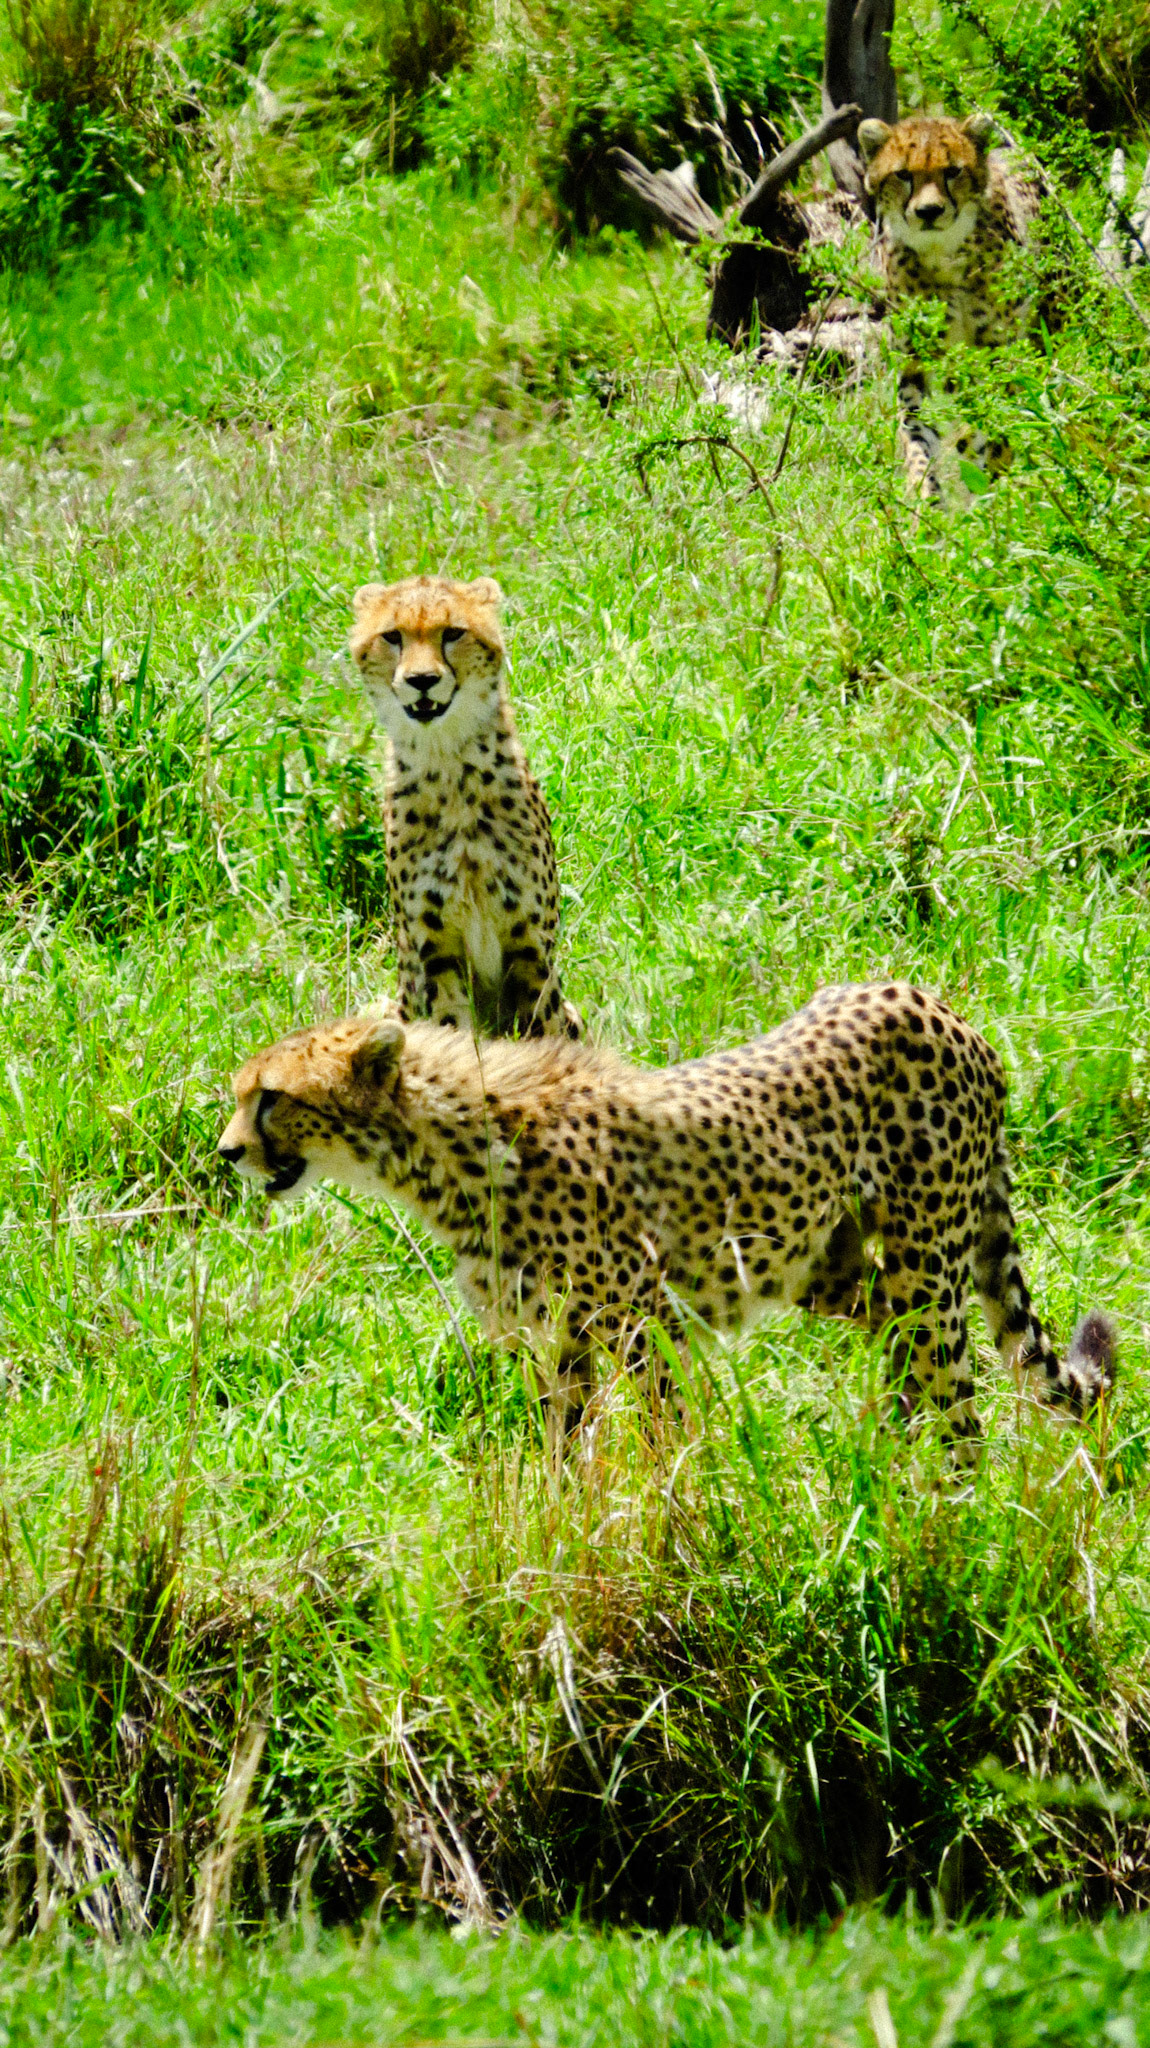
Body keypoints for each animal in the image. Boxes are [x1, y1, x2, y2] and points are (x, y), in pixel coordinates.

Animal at [218, 981, 1114, 1455]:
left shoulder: (646, 1327)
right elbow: (563, 1447)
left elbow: (667, 1439)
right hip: (835, 1270)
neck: (451, 1156)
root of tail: (938, 1003)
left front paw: (679, 1541)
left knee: (958, 1402)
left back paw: (948, 1518)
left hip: (929, 1268)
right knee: (902, 1352)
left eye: (273, 1099)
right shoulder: (564, 1342)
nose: (227, 1153)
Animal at [349, 573, 581, 1041]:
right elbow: (455, 1034)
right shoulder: (435, 953)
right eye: (392, 636)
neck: (449, 766)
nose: (422, 679)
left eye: (453, 633)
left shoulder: (531, 948)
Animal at [858, 113, 1036, 498]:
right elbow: (916, 438)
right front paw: (927, 499)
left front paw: (992, 495)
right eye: (903, 174)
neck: (941, 252)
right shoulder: (914, 364)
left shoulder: (998, 353)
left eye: (953, 171)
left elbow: (997, 427)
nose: (928, 211)